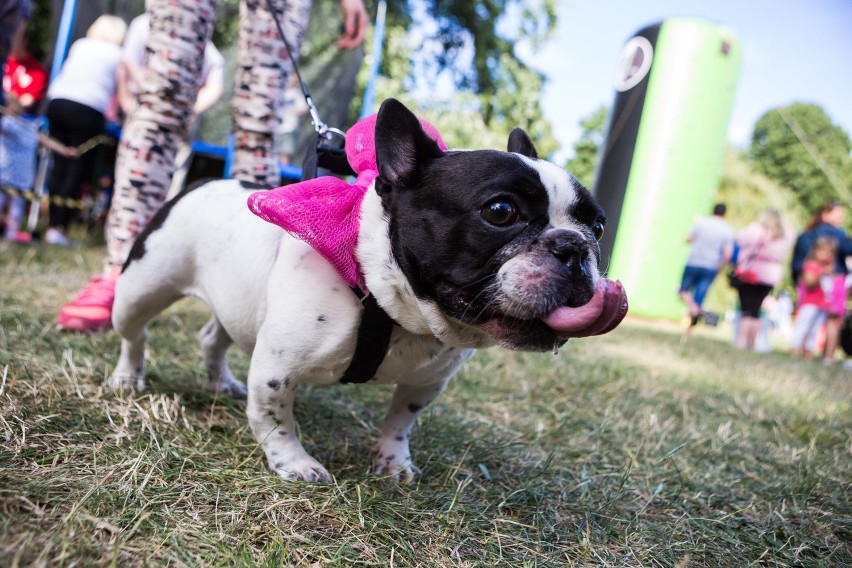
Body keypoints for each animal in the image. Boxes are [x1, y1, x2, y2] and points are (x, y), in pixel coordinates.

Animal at [110, 100, 624, 482]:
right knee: (135, 334)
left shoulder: (427, 380)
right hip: (139, 291)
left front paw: (393, 462)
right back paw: (128, 377)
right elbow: (274, 416)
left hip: (237, 304)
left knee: (212, 338)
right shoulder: (278, 368)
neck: (393, 307)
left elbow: (401, 419)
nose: (573, 246)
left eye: (598, 226)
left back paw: (221, 382)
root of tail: (202, 181)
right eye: (501, 211)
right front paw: (294, 464)